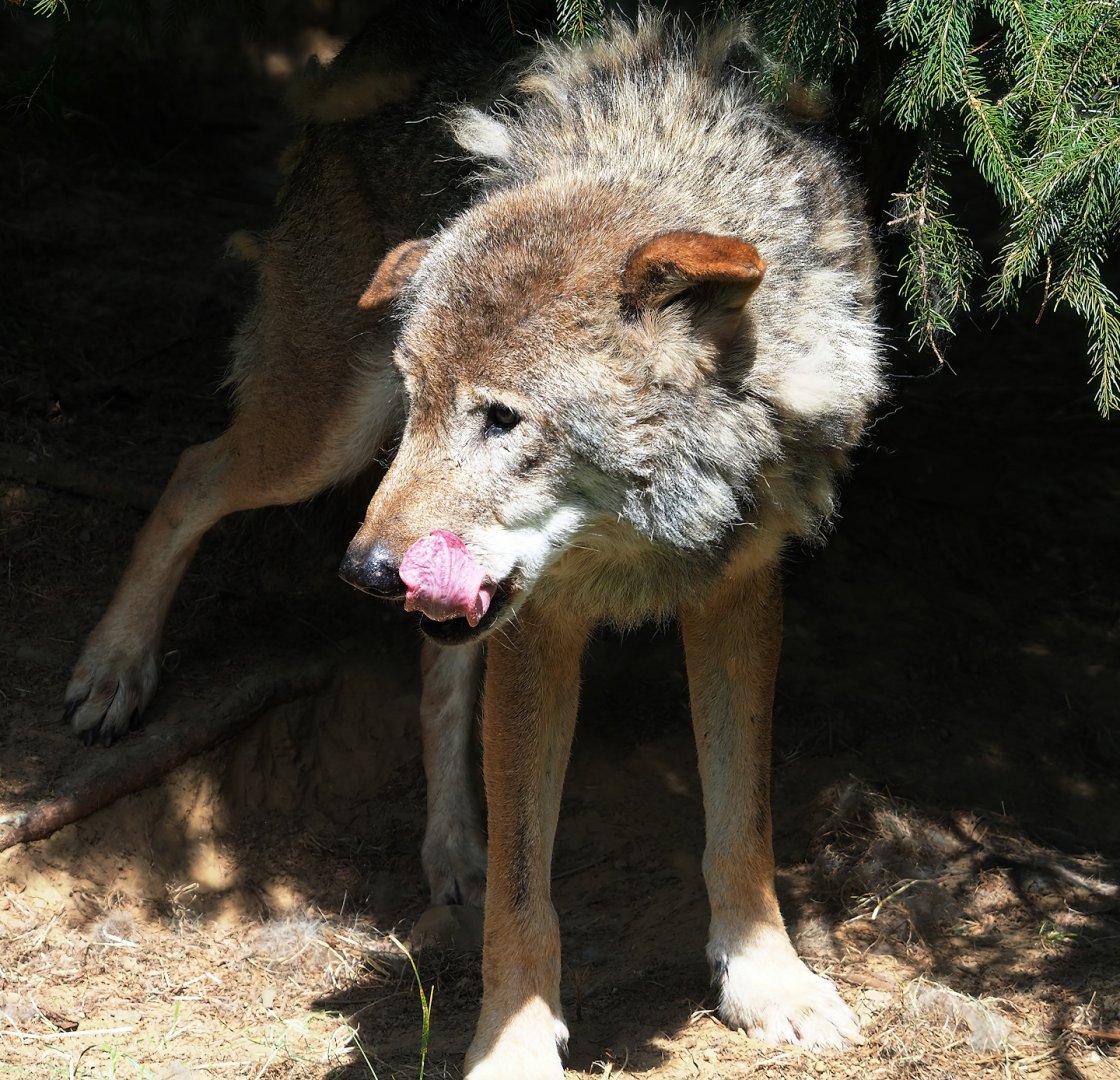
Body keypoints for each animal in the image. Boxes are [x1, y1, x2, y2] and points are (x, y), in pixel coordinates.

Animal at [340, 14, 884, 1078]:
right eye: (421, 403)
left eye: (502, 419)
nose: (369, 572)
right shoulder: (535, 630)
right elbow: (523, 893)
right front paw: (513, 1042)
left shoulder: (739, 589)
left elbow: (743, 822)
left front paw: (765, 979)